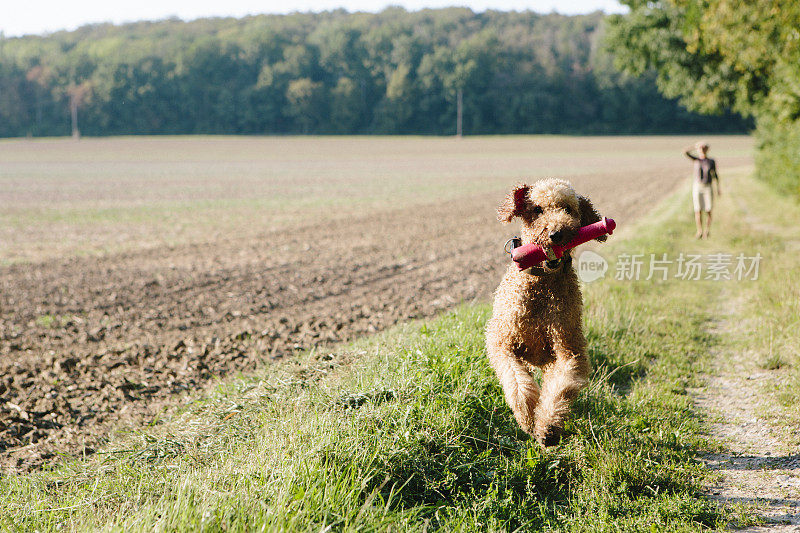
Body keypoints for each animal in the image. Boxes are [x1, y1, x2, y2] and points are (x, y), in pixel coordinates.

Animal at [488, 178, 608, 444]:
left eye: (568, 209)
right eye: (537, 209)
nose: (557, 234)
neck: (542, 284)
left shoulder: (569, 348)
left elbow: (562, 386)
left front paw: (548, 427)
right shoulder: (502, 342)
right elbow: (517, 383)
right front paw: (526, 416)